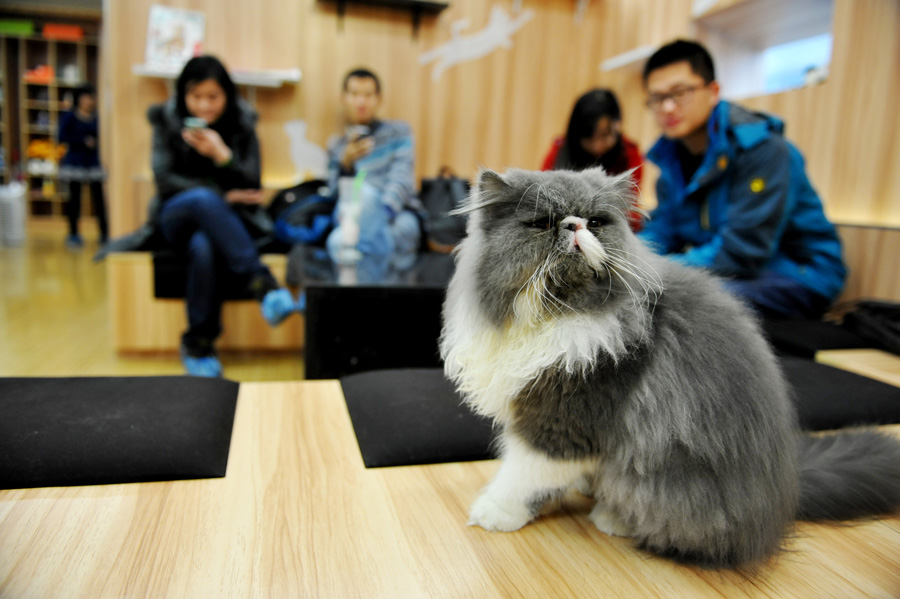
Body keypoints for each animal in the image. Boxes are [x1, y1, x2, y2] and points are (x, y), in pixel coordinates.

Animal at [440, 166, 900, 568]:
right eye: (541, 223)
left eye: (596, 221)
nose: (573, 225)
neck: (556, 315)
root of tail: (785, 489)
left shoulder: (562, 421)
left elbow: (522, 477)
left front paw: (494, 512)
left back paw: (611, 518)